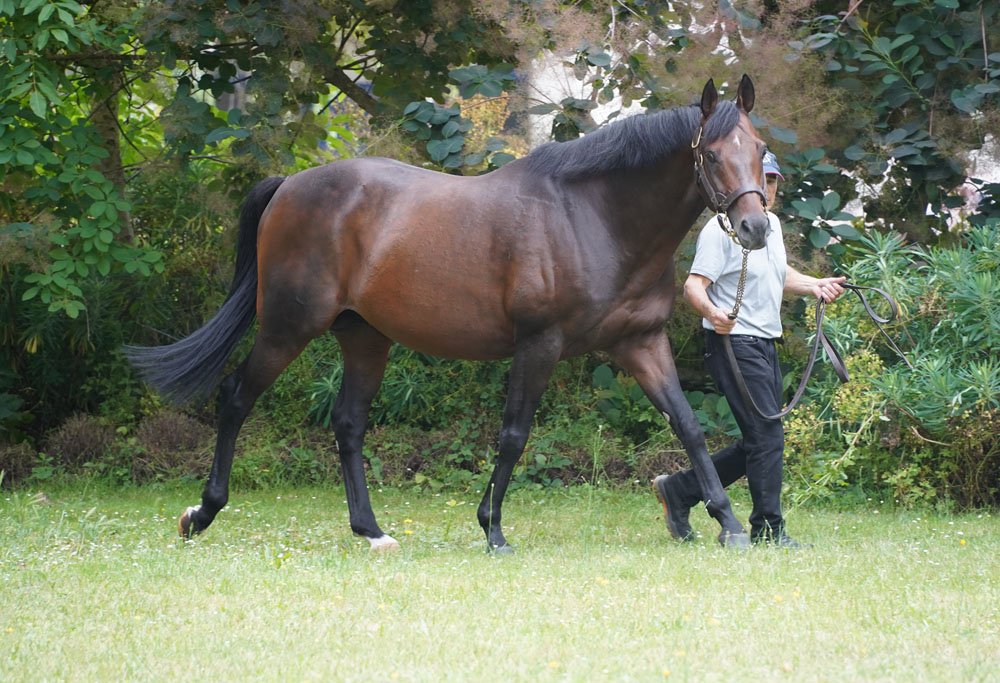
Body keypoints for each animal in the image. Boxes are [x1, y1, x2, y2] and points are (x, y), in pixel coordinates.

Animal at [125, 74, 772, 551]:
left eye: (760, 150)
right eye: (713, 155)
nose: (755, 228)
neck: (594, 218)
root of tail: (288, 185)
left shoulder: (640, 343)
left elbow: (688, 424)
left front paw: (728, 523)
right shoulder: (539, 345)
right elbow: (513, 435)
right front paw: (493, 529)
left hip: (365, 338)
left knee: (348, 424)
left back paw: (371, 532)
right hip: (288, 328)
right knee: (236, 398)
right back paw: (202, 513)